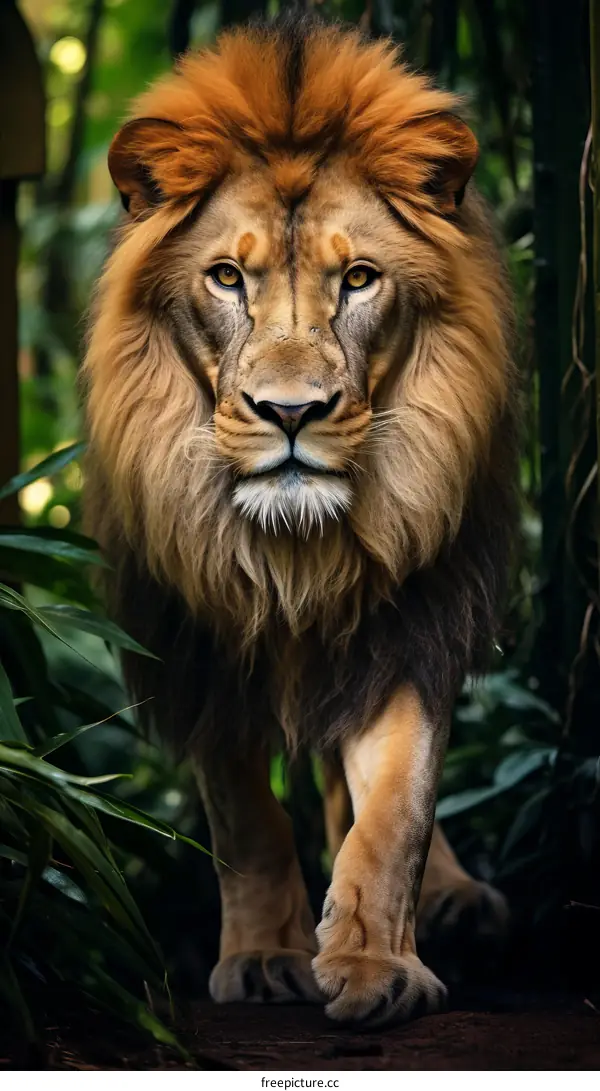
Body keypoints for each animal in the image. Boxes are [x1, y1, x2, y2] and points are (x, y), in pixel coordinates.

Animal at [83, 15, 518, 1027]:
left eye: (357, 278)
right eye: (225, 278)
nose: (291, 412)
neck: (294, 550)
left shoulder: (409, 619)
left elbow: (396, 806)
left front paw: (372, 962)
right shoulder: (199, 637)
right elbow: (244, 815)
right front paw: (262, 956)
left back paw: (456, 900)